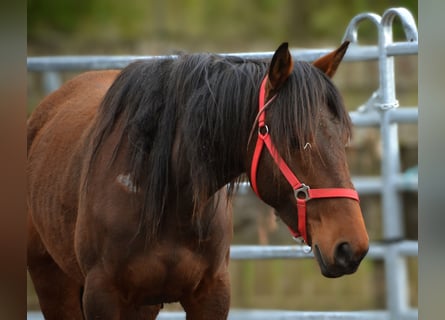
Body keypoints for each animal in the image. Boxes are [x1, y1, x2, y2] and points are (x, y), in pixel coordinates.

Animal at [26, 42, 368, 320]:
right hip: (53, 283)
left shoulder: (211, 295)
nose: (351, 247)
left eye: (343, 139)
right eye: (296, 141)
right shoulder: (103, 296)